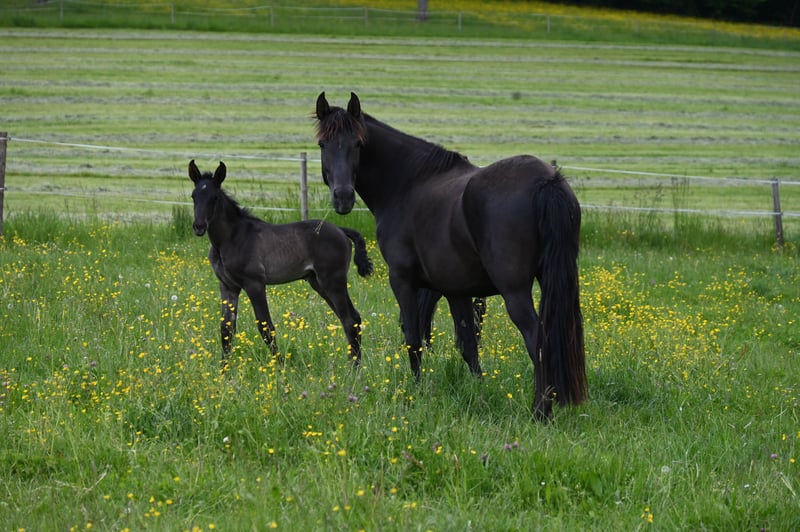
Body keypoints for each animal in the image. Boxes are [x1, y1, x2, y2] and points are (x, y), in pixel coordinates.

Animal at [188, 159, 373, 366]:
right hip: (318, 282)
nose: (199, 227)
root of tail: (340, 230)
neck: (231, 238)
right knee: (352, 318)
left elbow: (266, 327)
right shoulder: (228, 286)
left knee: (349, 319)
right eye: (194, 196)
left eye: (214, 197)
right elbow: (226, 330)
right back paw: (353, 364)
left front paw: (280, 367)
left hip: (333, 281)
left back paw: (353, 368)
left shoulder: (254, 284)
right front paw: (223, 371)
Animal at [314, 92, 586, 420]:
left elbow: (413, 339)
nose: (343, 197)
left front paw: (416, 392)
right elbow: (468, 345)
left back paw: (541, 412)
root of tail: (547, 181)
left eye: (358, 144)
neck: (407, 184)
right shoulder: (457, 290)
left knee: (537, 340)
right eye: (323, 144)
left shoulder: (402, 280)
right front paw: (479, 393)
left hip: (516, 291)